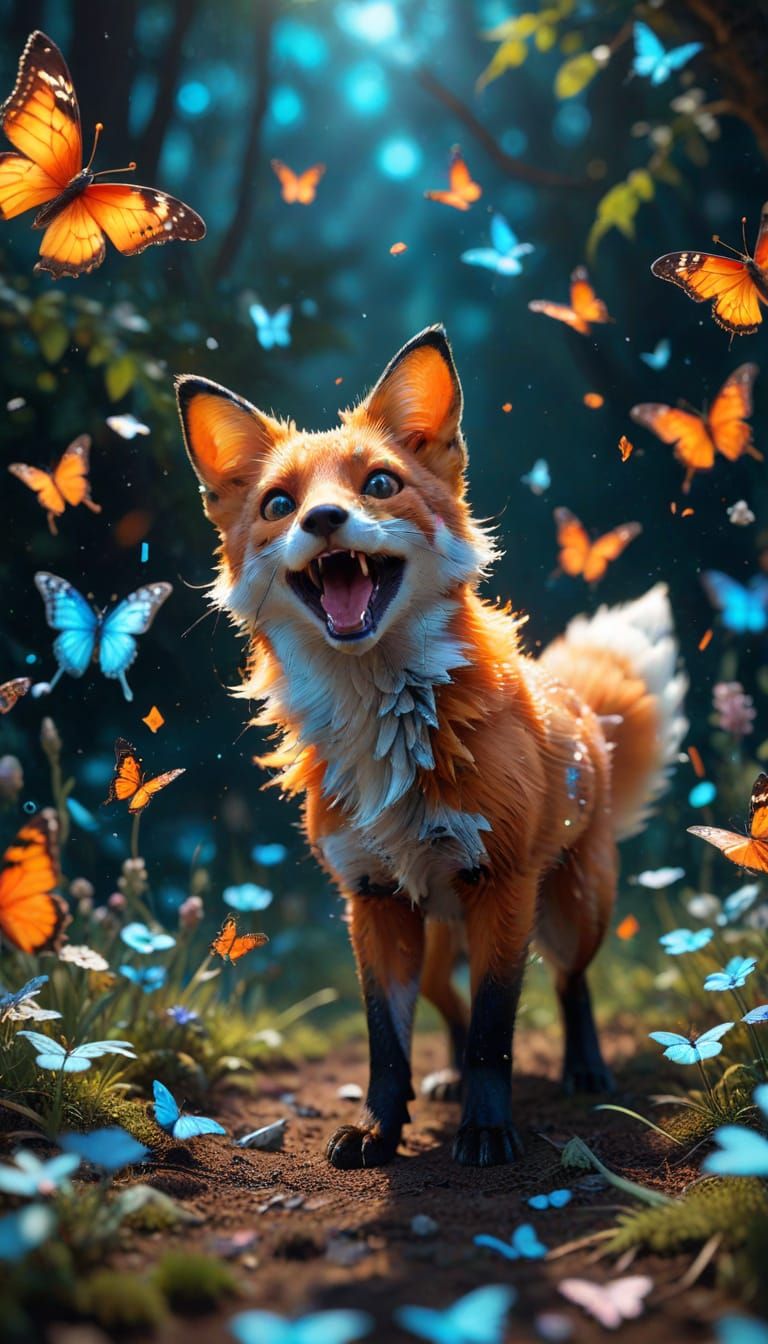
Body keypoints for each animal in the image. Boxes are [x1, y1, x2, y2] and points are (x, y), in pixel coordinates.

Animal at [175, 325, 688, 1169]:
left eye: (379, 483)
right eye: (279, 504)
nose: (323, 519)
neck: (388, 729)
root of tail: (576, 703)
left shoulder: (502, 886)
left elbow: (494, 1036)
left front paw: (486, 1132)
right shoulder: (373, 899)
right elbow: (389, 1043)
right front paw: (378, 1130)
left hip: (572, 910)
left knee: (570, 986)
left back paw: (584, 1069)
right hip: (442, 935)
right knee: (449, 1010)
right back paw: (445, 1081)